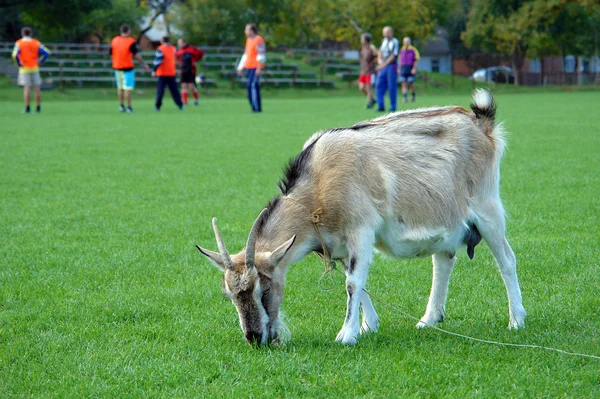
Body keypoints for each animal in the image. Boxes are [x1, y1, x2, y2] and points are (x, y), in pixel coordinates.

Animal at [196, 90, 524, 346]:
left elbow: (353, 282)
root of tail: (481, 122)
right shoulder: (339, 243)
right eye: (229, 295)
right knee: (443, 261)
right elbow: (356, 280)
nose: (254, 338)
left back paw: (516, 320)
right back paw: (429, 319)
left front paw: (347, 334)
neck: (316, 185)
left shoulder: (361, 230)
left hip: (487, 208)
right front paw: (369, 325)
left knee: (506, 259)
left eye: (264, 289)